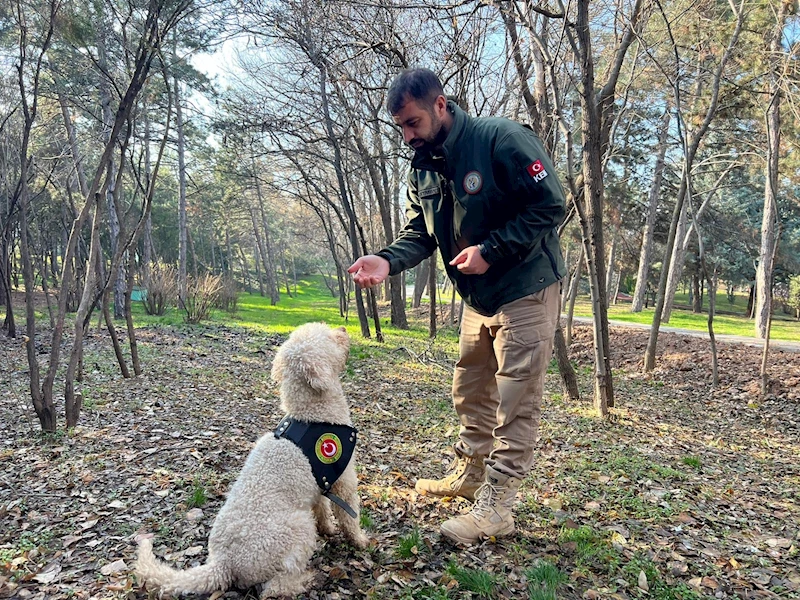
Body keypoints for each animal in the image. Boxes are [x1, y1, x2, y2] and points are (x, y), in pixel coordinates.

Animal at [135, 326, 368, 596]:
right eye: (329, 336)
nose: (343, 329)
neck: (312, 416)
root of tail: (223, 564)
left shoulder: (320, 485)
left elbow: (322, 511)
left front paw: (329, 530)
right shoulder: (344, 482)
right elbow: (349, 518)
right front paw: (360, 541)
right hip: (297, 528)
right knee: (273, 588)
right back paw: (307, 579)